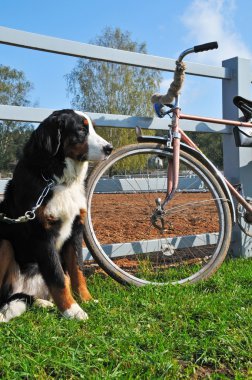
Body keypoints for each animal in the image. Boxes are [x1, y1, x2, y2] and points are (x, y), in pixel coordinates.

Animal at [0, 108, 112, 322]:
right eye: (81, 130)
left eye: (92, 128)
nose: (109, 148)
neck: (57, 180)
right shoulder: (43, 235)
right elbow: (57, 277)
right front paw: (72, 310)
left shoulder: (75, 231)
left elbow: (77, 272)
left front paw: (86, 300)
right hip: (4, 244)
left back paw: (43, 303)